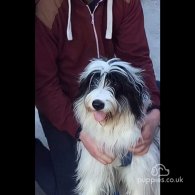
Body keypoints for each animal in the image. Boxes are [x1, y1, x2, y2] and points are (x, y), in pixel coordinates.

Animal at [73, 58, 160, 195]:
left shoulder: (139, 172)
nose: (97, 104)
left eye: (115, 84)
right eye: (93, 82)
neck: (112, 126)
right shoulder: (95, 166)